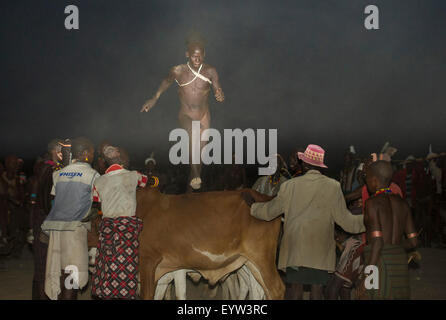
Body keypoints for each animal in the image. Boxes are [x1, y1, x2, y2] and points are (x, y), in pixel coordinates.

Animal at [135, 188, 286, 300]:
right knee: (259, 289)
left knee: (276, 289)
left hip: (262, 257)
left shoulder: (148, 260)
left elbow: (149, 295)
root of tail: (266, 198)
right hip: (251, 262)